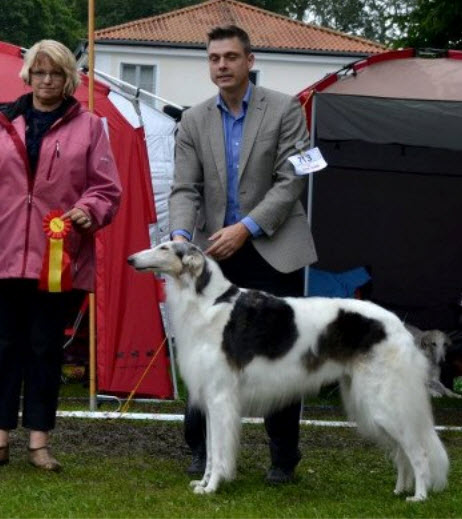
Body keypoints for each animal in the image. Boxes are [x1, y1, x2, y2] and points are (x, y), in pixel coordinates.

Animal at [127, 242, 448, 502]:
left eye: (165, 247)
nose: (130, 259)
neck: (210, 302)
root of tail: (398, 326)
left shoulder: (220, 399)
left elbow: (217, 454)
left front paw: (212, 488)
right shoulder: (209, 400)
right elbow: (208, 453)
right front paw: (203, 483)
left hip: (384, 403)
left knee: (418, 452)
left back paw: (419, 497)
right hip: (372, 405)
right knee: (402, 454)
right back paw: (400, 490)